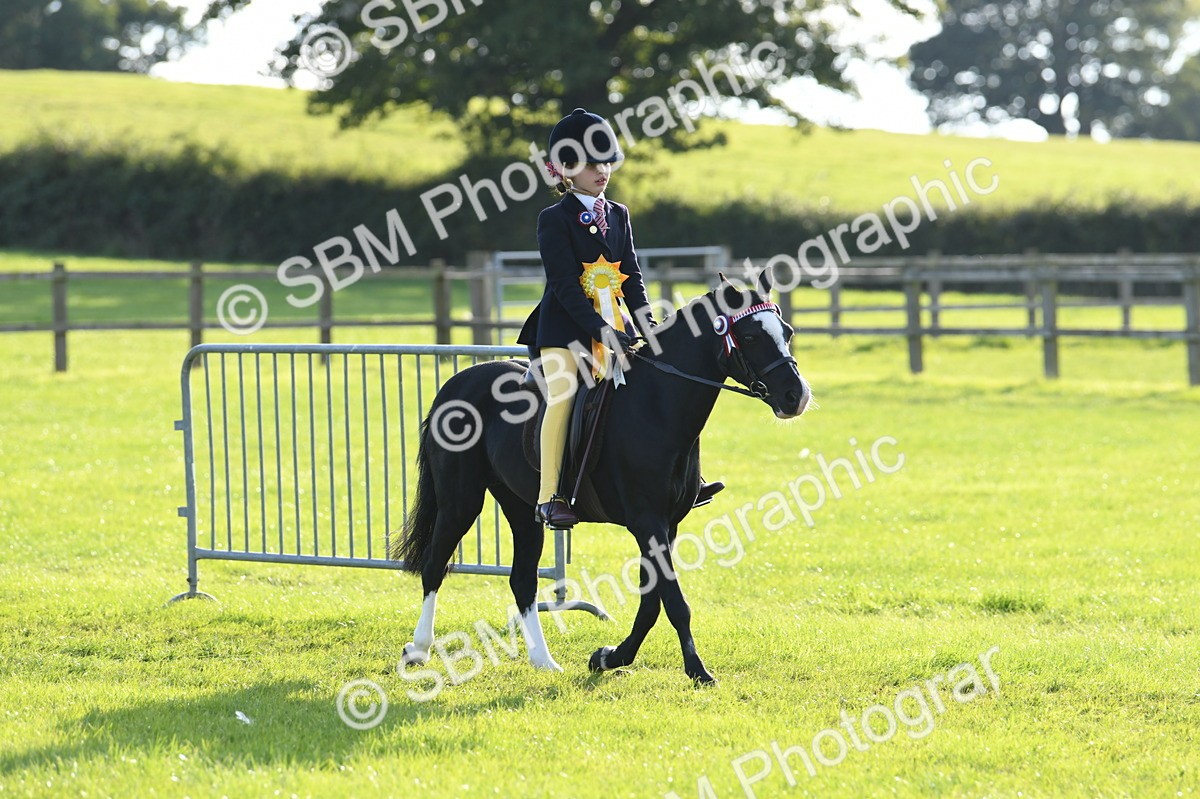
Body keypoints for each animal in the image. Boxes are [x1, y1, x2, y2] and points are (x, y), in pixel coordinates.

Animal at [391, 270, 812, 684]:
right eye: (751, 336)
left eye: (787, 331)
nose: (797, 397)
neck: (656, 406)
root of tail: (457, 383)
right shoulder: (647, 522)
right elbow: (674, 601)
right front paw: (698, 670)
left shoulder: (667, 524)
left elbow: (652, 601)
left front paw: (610, 657)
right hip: (460, 500)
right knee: (434, 565)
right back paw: (419, 649)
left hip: (522, 508)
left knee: (522, 580)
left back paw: (543, 661)